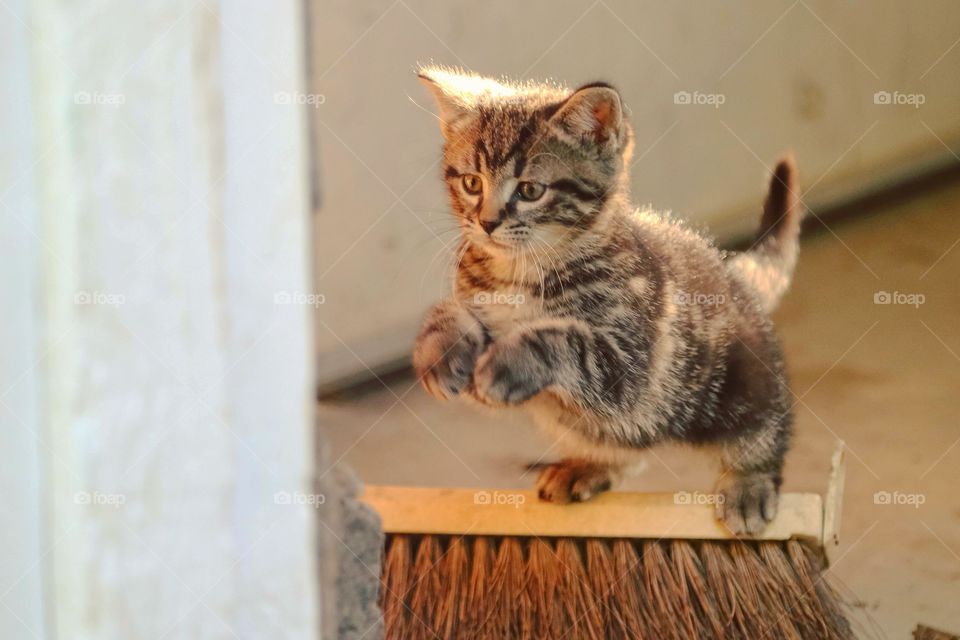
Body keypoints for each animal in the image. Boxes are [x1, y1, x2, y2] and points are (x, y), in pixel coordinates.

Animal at [412, 66, 804, 536]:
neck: (521, 272)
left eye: (530, 190)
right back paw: (590, 465)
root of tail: (734, 273)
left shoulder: (631, 361)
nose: (486, 223)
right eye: (472, 183)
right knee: (618, 439)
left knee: (761, 426)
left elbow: (563, 340)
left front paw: (510, 361)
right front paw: (440, 349)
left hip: (739, 382)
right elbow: (449, 311)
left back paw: (750, 482)